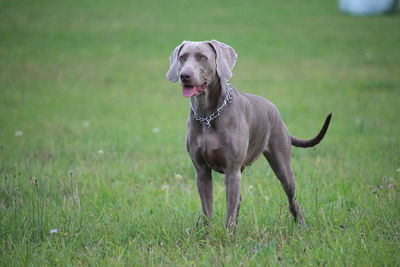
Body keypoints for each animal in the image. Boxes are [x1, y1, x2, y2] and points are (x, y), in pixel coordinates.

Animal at [166, 39, 332, 228]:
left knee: (292, 198)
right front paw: (207, 233)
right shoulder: (201, 171)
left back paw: (302, 226)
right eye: (182, 57)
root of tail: (276, 111)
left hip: (282, 165)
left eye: (203, 57)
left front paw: (227, 233)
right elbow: (207, 209)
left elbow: (229, 209)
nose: (184, 75)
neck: (208, 115)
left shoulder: (232, 171)